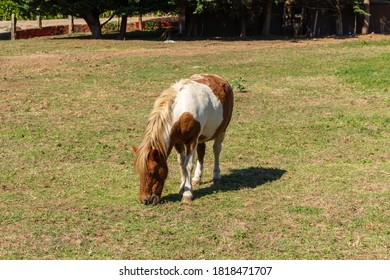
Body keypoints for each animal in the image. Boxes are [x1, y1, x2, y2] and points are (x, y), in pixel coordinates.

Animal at [133, 74, 233, 206]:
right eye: (139, 172)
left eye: (152, 172)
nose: (145, 200)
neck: (181, 112)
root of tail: (220, 78)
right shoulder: (177, 141)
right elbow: (182, 163)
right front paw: (182, 187)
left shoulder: (191, 140)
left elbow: (188, 165)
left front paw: (187, 194)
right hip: (200, 138)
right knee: (201, 153)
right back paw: (197, 178)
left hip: (221, 130)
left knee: (216, 150)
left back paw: (216, 176)